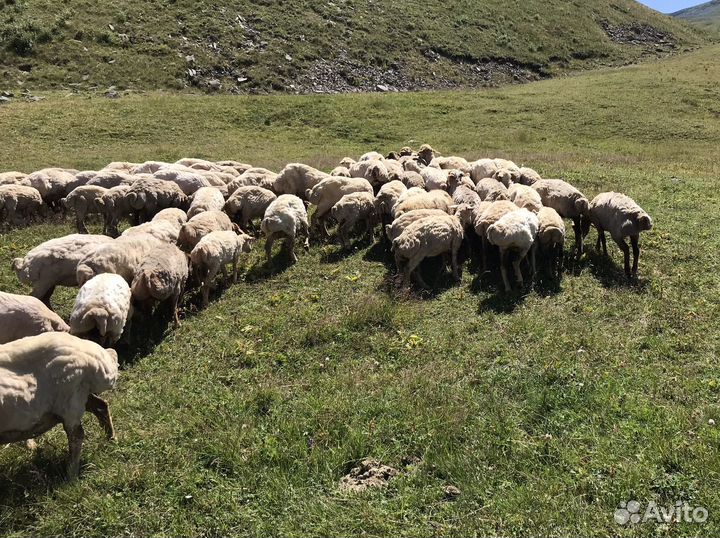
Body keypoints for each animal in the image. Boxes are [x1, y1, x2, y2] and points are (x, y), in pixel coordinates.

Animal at [0, 332, 118, 479]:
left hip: (70, 402)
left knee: (77, 436)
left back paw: (71, 473)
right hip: (79, 397)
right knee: (101, 406)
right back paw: (111, 439)